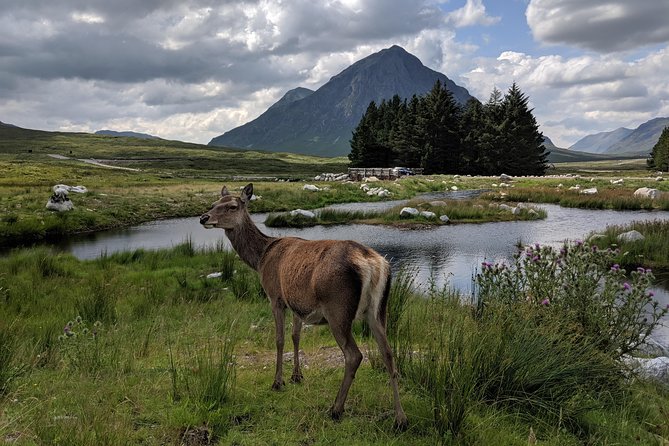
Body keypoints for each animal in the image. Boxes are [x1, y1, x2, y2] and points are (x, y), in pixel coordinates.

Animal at [198, 184, 408, 428]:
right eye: (214, 204)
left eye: (232, 206)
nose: (204, 217)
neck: (261, 258)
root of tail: (372, 263)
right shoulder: (297, 304)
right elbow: (295, 336)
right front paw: (297, 376)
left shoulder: (276, 297)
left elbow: (279, 339)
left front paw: (277, 382)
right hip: (379, 309)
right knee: (388, 353)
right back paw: (400, 418)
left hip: (338, 309)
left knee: (354, 355)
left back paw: (336, 408)